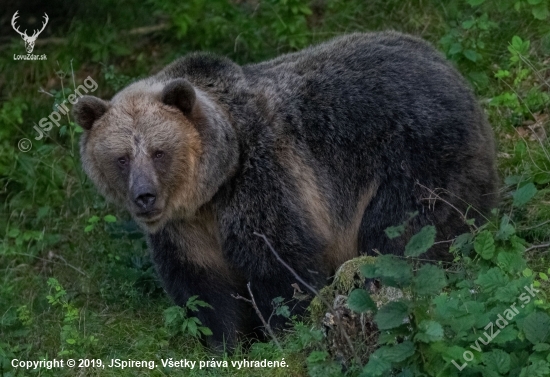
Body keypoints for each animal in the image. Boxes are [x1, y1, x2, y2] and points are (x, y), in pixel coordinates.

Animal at [73, 30, 500, 348]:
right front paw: (224, 345)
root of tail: (452, 70)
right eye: (121, 157)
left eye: (159, 151)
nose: (144, 196)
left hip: (417, 158)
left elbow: (282, 266)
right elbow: (203, 288)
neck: (211, 190)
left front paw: (286, 333)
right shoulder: (185, 230)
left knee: (402, 235)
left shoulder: (264, 180)